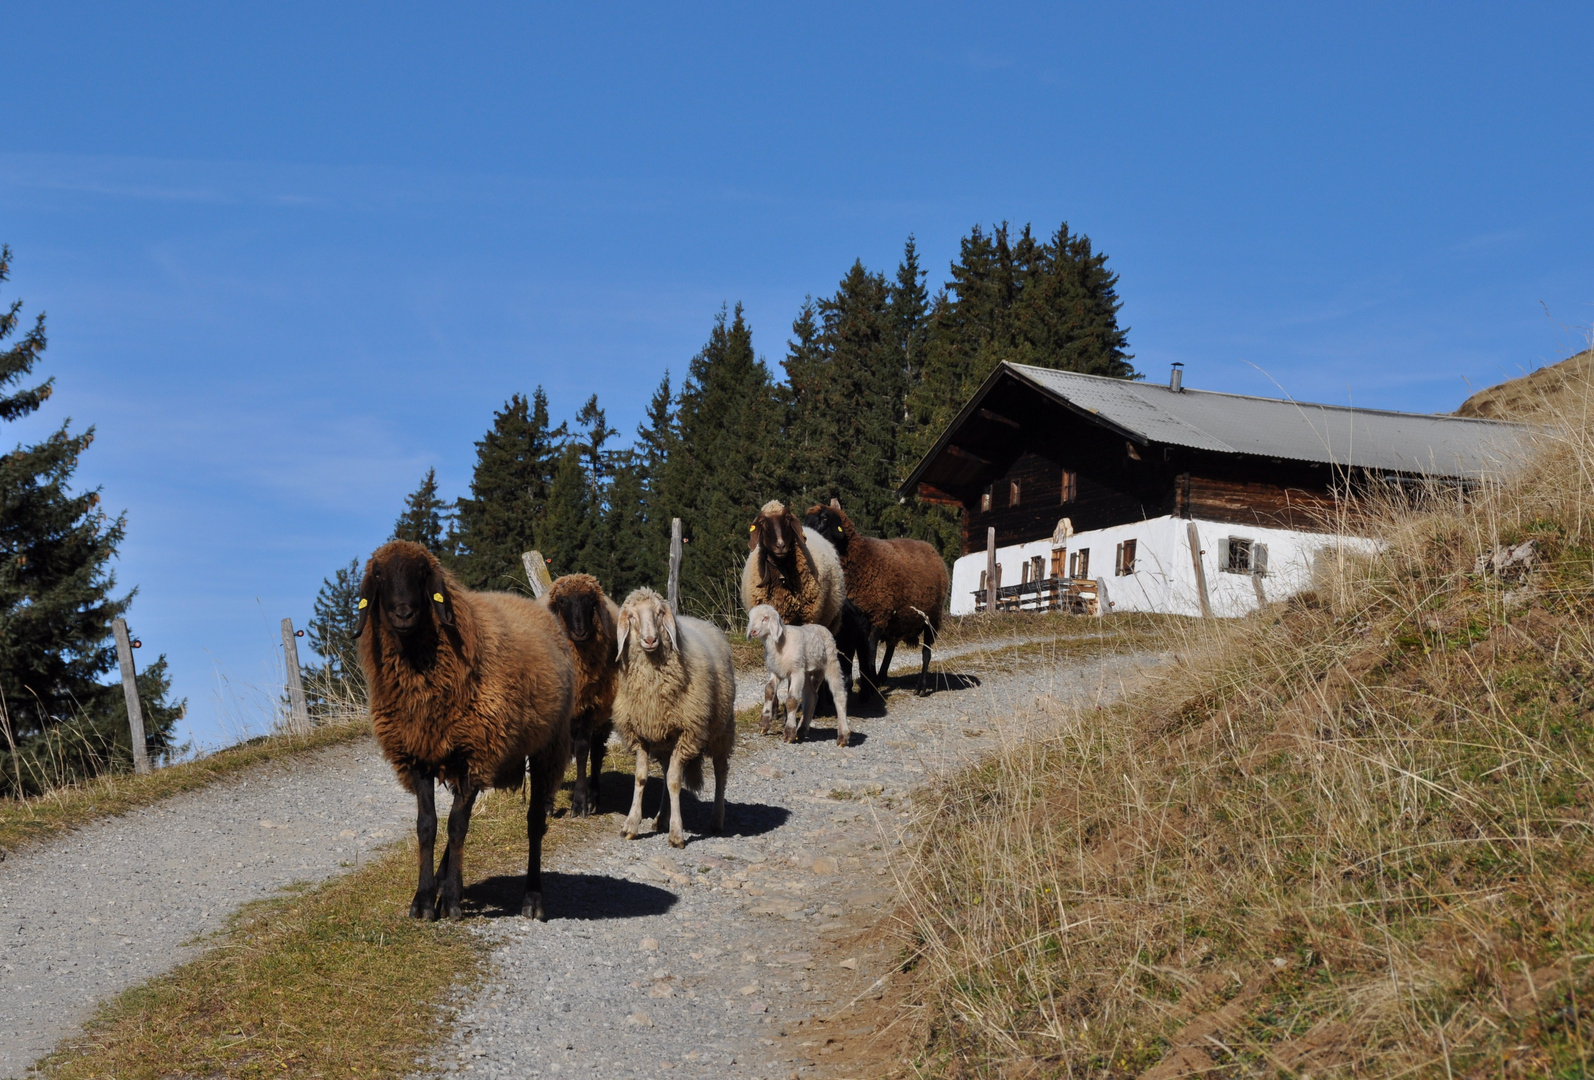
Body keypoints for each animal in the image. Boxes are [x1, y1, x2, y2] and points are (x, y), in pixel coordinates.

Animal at [355, 541, 573, 923]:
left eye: (423, 573)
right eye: (378, 574)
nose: (403, 613)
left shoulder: (478, 752)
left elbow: (458, 825)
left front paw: (453, 901)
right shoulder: (418, 753)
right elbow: (427, 825)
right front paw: (424, 900)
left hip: (547, 747)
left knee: (533, 822)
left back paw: (532, 899)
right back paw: (442, 884)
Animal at [548, 579, 621, 815]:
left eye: (590, 599)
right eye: (562, 601)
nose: (580, 631)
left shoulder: (590, 706)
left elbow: (582, 750)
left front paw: (580, 802)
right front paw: (547, 803)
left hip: (603, 715)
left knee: (596, 753)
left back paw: (594, 798)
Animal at [612, 589, 736, 847]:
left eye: (660, 612)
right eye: (631, 616)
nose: (650, 640)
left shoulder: (688, 733)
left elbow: (674, 782)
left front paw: (677, 833)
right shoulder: (639, 734)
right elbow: (641, 778)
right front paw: (631, 824)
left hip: (722, 729)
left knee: (720, 771)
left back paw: (716, 819)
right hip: (665, 740)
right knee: (667, 769)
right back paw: (661, 818)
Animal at [742, 605, 848, 748]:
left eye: (766, 618)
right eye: (750, 618)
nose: (753, 631)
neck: (780, 643)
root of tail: (822, 627)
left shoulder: (796, 672)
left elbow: (791, 700)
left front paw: (789, 733)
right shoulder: (776, 671)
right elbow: (769, 690)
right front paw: (764, 723)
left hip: (830, 662)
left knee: (839, 695)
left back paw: (843, 736)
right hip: (806, 670)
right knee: (811, 696)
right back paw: (801, 730)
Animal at [809, 500, 943, 697]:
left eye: (825, 519)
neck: (861, 558)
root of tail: (931, 548)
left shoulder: (878, 615)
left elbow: (870, 652)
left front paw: (868, 687)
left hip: (930, 619)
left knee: (926, 653)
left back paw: (920, 686)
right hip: (897, 620)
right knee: (891, 647)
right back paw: (880, 678)